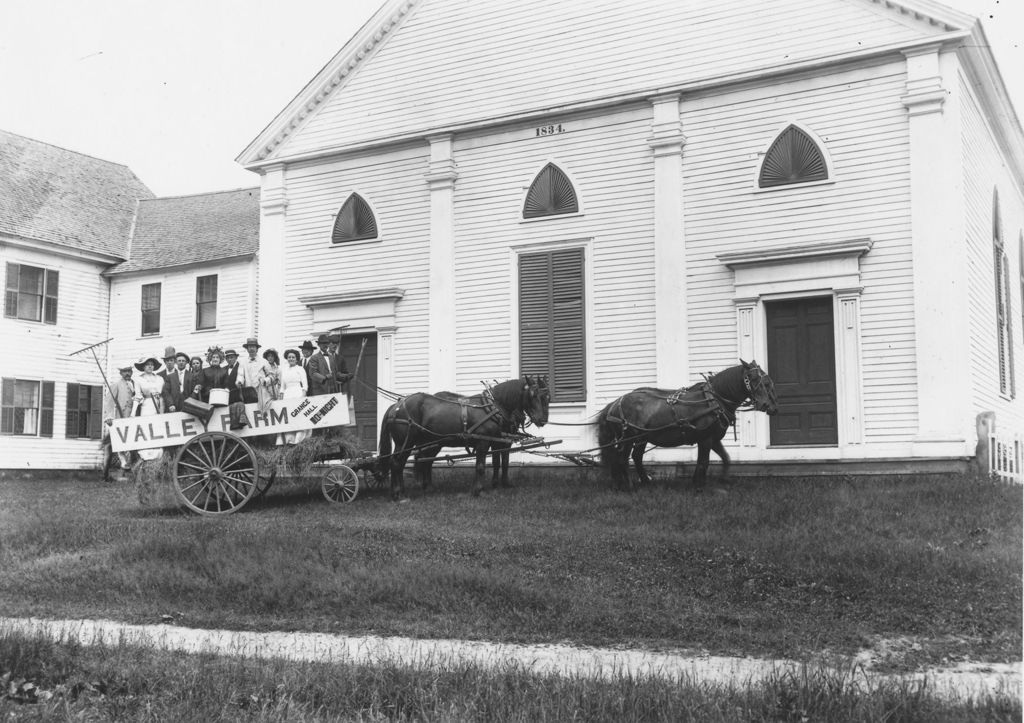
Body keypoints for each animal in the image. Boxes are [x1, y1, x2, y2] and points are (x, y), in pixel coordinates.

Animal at [378, 374, 552, 497]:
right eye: (533, 395)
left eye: (547, 397)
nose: (542, 420)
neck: (494, 407)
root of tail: (396, 405)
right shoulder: (483, 442)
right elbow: (481, 466)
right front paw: (478, 490)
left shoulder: (497, 441)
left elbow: (500, 462)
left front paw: (501, 484)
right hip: (405, 442)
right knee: (396, 463)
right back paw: (398, 494)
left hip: (424, 442)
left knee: (413, 462)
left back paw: (410, 489)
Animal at [593, 360, 774, 489]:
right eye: (754, 379)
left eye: (767, 381)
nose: (766, 405)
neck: (714, 400)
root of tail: (616, 403)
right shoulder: (705, 439)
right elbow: (703, 462)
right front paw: (699, 486)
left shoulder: (714, 439)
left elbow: (726, 459)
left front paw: (721, 479)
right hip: (629, 438)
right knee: (622, 459)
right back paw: (628, 485)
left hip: (641, 437)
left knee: (635, 457)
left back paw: (641, 482)